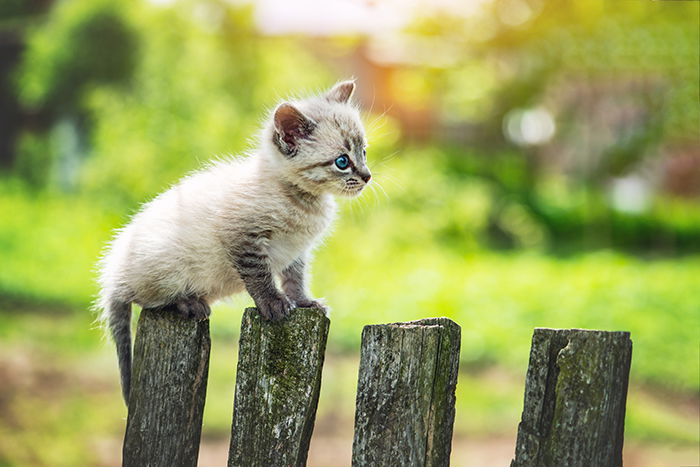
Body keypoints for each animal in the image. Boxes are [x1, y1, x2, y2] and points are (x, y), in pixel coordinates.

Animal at [100, 80, 372, 406]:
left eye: (364, 152)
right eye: (342, 162)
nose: (367, 176)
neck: (303, 201)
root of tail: (114, 275)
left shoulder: (296, 251)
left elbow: (295, 278)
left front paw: (304, 301)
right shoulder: (243, 238)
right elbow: (259, 276)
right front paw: (273, 304)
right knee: (147, 300)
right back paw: (189, 302)